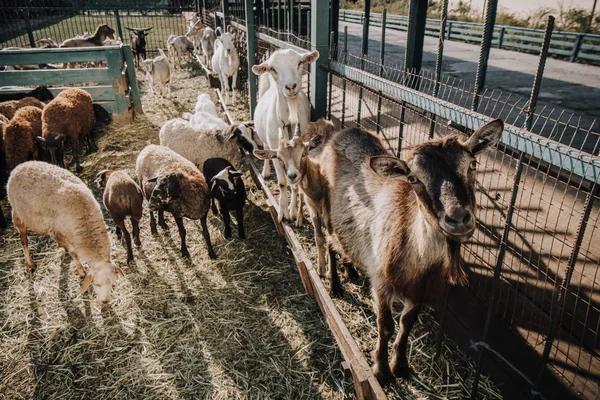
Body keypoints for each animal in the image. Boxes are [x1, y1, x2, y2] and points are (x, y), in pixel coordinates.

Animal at [6, 161, 125, 302]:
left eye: (112, 283)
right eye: (97, 284)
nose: (105, 301)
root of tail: (21, 165)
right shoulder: (59, 231)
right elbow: (73, 252)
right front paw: (81, 270)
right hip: (18, 215)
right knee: (23, 241)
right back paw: (30, 264)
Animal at [251, 48, 322, 222]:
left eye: (300, 62)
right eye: (273, 69)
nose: (290, 86)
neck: (289, 120)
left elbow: (295, 184)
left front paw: (293, 212)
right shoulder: (276, 152)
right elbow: (282, 183)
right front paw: (282, 212)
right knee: (265, 148)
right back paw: (266, 172)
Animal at [318, 120, 506, 386]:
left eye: (472, 164)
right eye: (414, 178)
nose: (458, 218)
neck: (417, 260)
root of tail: (343, 132)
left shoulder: (420, 290)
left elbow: (407, 324)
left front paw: (400, 366)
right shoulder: (381, 281)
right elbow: (385, 326)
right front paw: (382, 371)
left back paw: (351, 270)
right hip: (325, 208)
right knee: (329, 243)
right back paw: (334, 284)